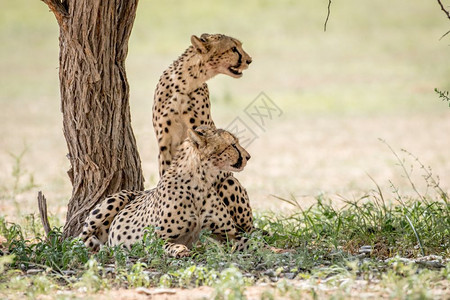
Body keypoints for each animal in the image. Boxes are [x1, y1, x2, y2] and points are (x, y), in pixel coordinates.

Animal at [79, 125, 253, 256]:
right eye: (232, 145)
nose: (248, 156)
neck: (201, 181)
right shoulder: (153, 239)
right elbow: (169, 245)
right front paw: (180, 249)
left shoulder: (229, 234)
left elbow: (251, 241)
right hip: (113, 201)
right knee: (82, 240)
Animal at [153, 34, 255, 233]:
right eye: (233, 48)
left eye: (239, 46)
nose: (249, 60)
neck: (185, 83)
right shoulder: (164, 144)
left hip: (230, 183)